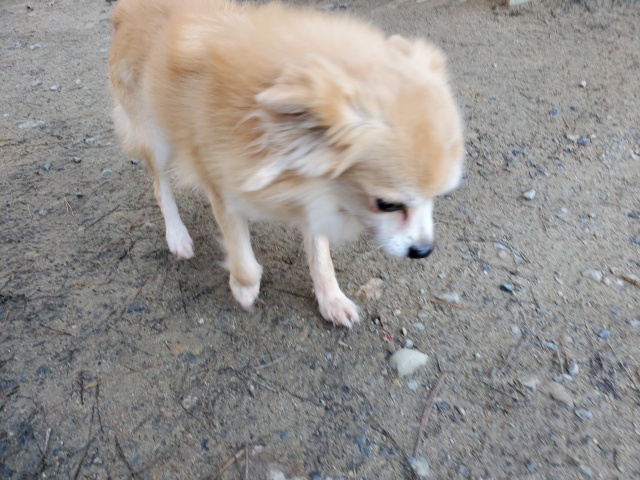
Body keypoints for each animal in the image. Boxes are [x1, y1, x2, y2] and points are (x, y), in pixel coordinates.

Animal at [108, 0, 464, 328]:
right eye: (387, 204)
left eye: (440, 196)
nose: (423, 251)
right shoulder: (225, 192)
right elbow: (243, 260)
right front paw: (244, 287)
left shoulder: (314, 193)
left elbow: (320, 257)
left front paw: (331, 299)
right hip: (155, 136)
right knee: (160, 186)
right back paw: (177, 236)